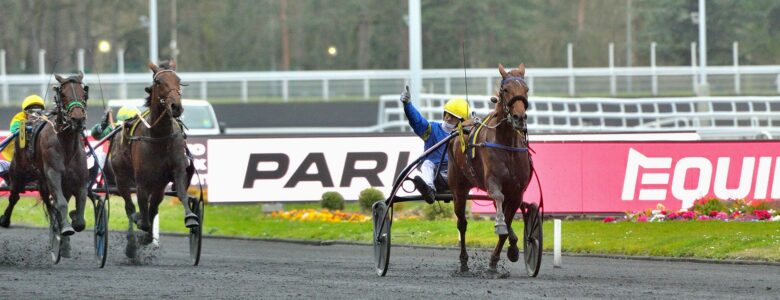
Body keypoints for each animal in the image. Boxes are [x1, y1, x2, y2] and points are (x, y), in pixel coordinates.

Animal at [0, 72, 90, 258]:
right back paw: (5, 219)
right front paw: (65, 227)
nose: (78, 119)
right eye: (64, 94)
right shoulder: (53, 174)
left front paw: (72, 218)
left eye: (83, 93)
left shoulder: (80, 181)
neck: (65, 144)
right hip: (19, 172)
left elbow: (80, 217)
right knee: (15, 196)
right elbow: (60, 204)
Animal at [109, 59, 198, 254]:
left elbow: (180, 194)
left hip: (158, 185)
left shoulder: (176, 171)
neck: (159, 136)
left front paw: (190, 217)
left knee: (153, 206)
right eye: (158, 82)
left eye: (179, 80)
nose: (176, 107)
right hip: (121, 178)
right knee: (129, 206)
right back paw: (132, 243)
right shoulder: (142, 179)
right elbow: (141, 207)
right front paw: (141, 226)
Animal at [448, 63, 532, 274]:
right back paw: (463, 261)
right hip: (458, 188)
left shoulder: (517, 192)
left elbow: (506, 226)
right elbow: (499, 201)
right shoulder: (493, 182)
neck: (507, 144)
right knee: (462, 223)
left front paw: (497, 260)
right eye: (505, 90)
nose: (519, 117)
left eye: (526, 89)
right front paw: (500, 225)